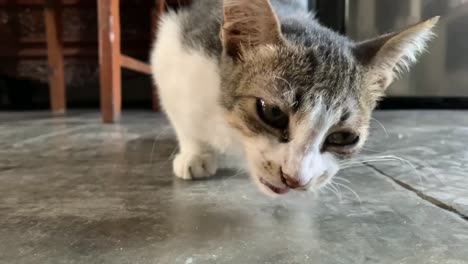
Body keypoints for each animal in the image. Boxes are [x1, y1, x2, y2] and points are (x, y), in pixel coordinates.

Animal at [152, 0, 440, 194]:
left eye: (344, 137)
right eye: (272, 112)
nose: (294, 179)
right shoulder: (177, 57)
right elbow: (185, 123)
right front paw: (195, 154)